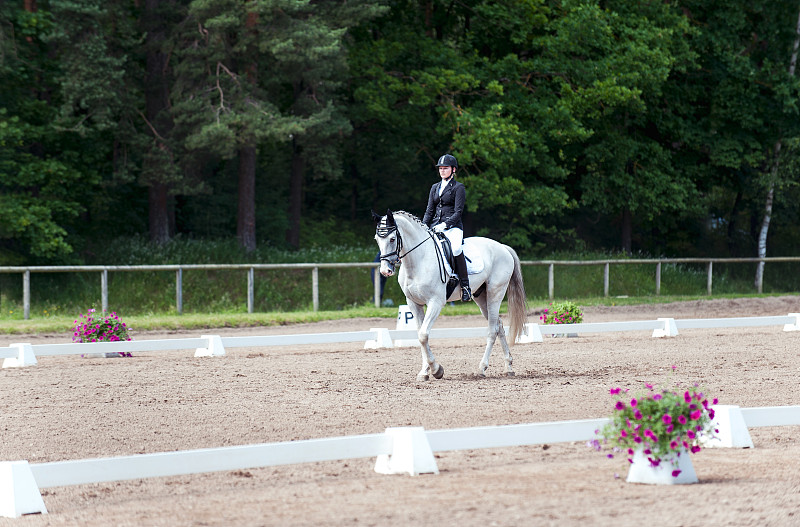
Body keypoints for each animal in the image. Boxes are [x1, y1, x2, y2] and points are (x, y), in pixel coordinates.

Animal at [374, 209, 528, 380]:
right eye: (377, 239)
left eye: (392, 238)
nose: (385, 271)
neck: (419, 260)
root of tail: (502, 247)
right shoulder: (414, 304)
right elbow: (420, 335)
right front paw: (424, 372)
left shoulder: (435, 302)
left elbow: (423, 335)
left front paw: (436, 370)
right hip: (481, 297)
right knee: (498, 325)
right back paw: (508, 367)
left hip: (495, 293)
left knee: (492, 330)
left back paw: (482, 368)